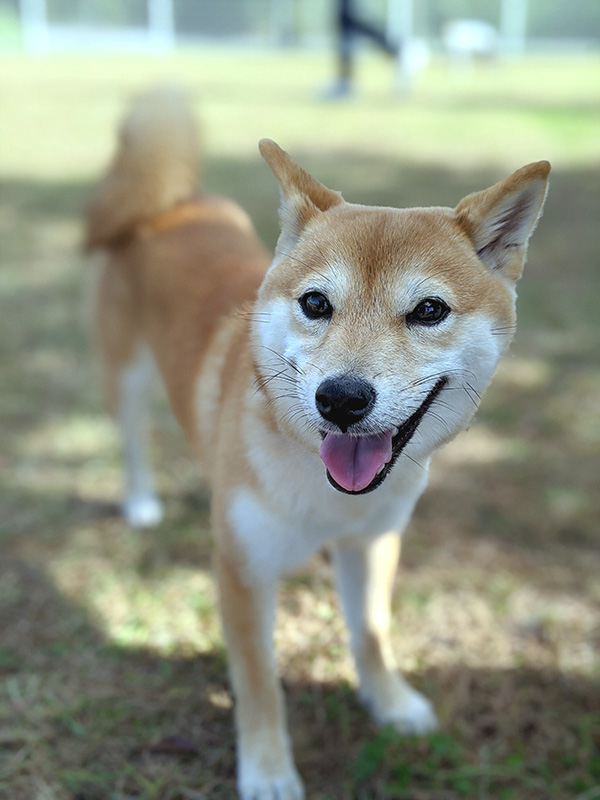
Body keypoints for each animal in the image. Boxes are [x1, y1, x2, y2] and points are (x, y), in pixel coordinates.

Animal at [86, 90, 552, 796]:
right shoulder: (242, 570)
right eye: (314, 303)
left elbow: (371, 633)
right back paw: (141, 500)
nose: (341, 398)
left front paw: (390, 702)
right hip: (126, 375)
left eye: (429, 311)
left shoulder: (373, 541)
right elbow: (258, 684)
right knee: (133, 438)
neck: (324, 488)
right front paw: (268, 768)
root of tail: (173, 200)